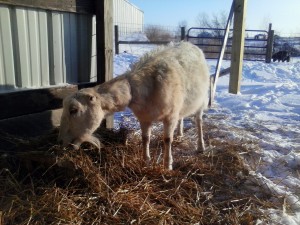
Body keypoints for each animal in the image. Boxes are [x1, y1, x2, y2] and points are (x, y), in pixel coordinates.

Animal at [58, 41, 209, 170]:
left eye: (73, 110)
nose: (62, 143)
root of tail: (188, 43)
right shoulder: (144, 118)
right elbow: (145, 139)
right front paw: (146, 160)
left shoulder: (170, 116)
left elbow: (167, 140)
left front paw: (167, 165)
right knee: (182, 116)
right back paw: (180, 133)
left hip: (201, 100)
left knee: (199, 121)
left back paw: (201, 146)